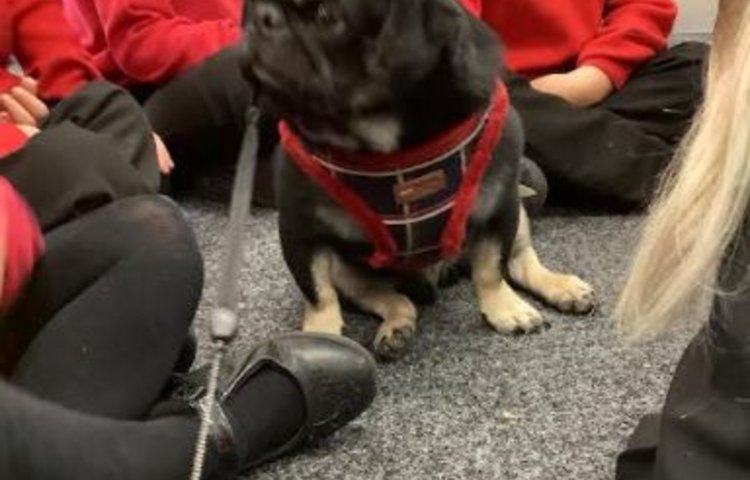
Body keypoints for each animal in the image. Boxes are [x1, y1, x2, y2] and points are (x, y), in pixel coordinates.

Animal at [244, 0, 596, 358]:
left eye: (325, 18)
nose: (261, 17)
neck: (389, 148)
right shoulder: (299, 231)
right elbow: (318, 292)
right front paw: (320, 335)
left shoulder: (502, 207)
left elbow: (491, 267)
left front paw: (504, 308)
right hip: (348, 271)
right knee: (389, 297)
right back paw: (397, 326)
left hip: (519, 216)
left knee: (520, 261)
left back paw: (561, 287)